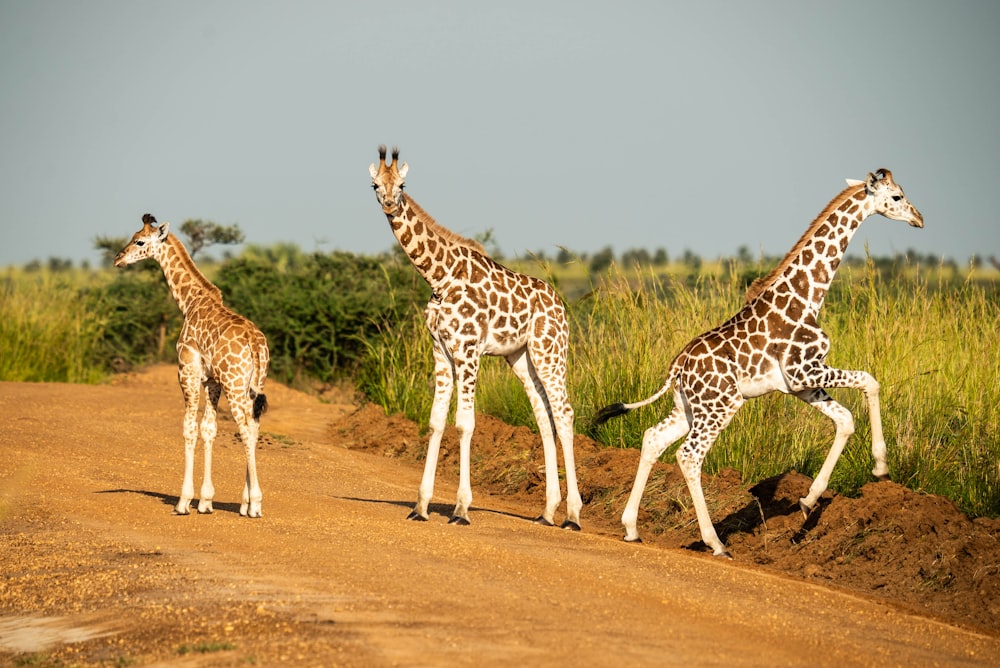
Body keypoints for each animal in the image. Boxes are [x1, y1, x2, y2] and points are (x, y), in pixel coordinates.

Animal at [114, 214, 270, 516]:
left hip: (235, 386)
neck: (190, 302)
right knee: (254, 428)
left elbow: (189, 429)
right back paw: (245, 503)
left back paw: (256, 504)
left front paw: (184, 501)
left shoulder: (187, 372)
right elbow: (209, 429)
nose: (118, 258)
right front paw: (206, 501)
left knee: (246, 429)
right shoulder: (212, 381)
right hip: (252, 385)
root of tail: (256, 345)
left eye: (139, 241)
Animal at [372, 147, 584, 532]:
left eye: (403, 185)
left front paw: (460, 509)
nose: (391, 205)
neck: (439, 276)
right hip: (521, 358)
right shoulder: (441, 352)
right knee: (544, 418)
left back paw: (573, 516)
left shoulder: (468, 351)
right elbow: (436, 421)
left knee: (564, 414)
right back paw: (547, 511)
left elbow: (464, 423)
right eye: (375, 184)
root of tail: (561, 305)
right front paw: (420, 506)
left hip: (550, 352)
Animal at [592, 168, 920, 560]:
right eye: (898, 196)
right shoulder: (805, 370)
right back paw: (715, 542)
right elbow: (871, 380)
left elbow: (845, 419)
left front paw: (809, 500)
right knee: (689, 456)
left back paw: (631, 528)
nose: (919, 219)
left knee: (653, 438)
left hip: (688, 407)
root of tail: (677, 368)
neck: (808, 297)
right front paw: (881, 467)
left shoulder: (800, 385)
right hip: (721, 405)